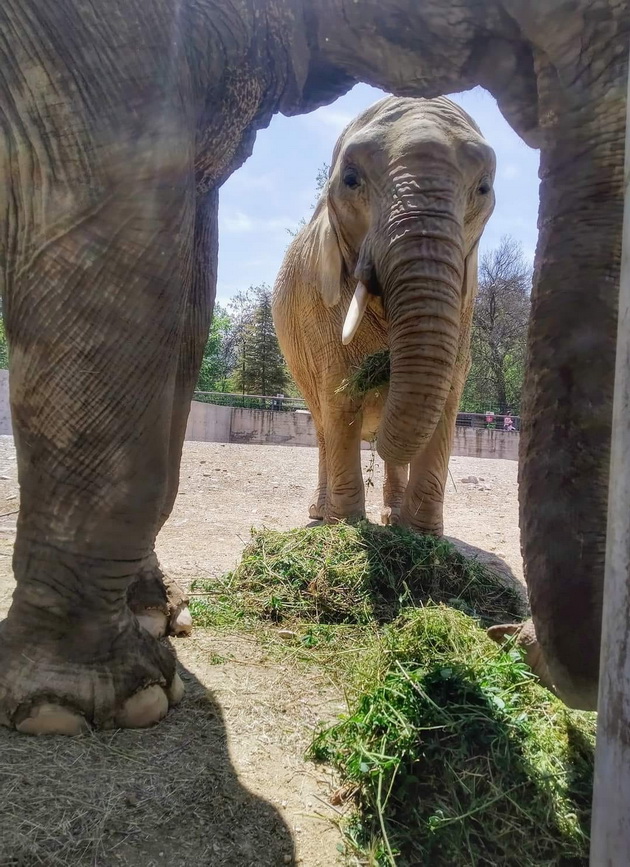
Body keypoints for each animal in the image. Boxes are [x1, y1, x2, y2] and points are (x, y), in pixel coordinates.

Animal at [274, 95, 496, 532]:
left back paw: (391, 518)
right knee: (322, 426)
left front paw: (421, 535)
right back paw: (321, 514)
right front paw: (347, 528)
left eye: (484, 188)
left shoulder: (465, 298)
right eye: (350, 179)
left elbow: (447, 395)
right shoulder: (317, 299)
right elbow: (341, 392)